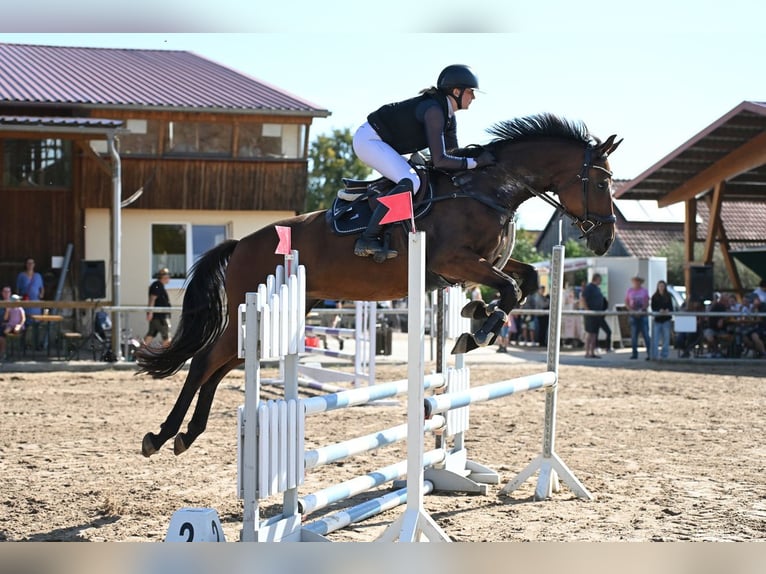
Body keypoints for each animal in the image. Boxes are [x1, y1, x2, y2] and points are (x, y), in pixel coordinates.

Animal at [138, 113, 622, 457]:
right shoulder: (454, 260)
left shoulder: (477, 266)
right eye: (601, 182)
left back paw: (189, 434)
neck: (489, 188)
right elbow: (509, 289)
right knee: (205, 361)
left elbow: (526, 280)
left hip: (280, 312)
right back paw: (161, 436)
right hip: (255, 306)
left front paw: (474, 321)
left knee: (222, 365)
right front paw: (480, 330)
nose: (605, 239)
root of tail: (240, 243)